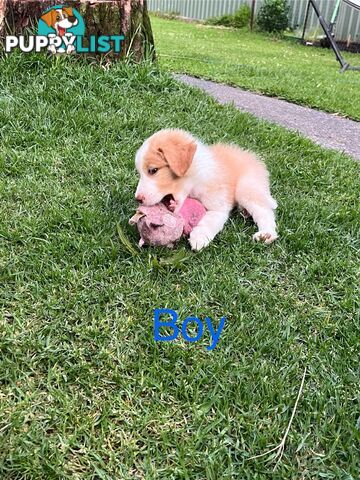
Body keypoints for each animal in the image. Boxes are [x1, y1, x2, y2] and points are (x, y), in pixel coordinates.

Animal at [135, 129, 278, 253]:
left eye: (153, 170)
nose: (138, 199)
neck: (195, 181)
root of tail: (252, 156)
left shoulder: (219, 206)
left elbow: (209, 220)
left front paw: (199, 238)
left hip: (246, 188)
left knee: (264, 211)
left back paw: (266, 234)